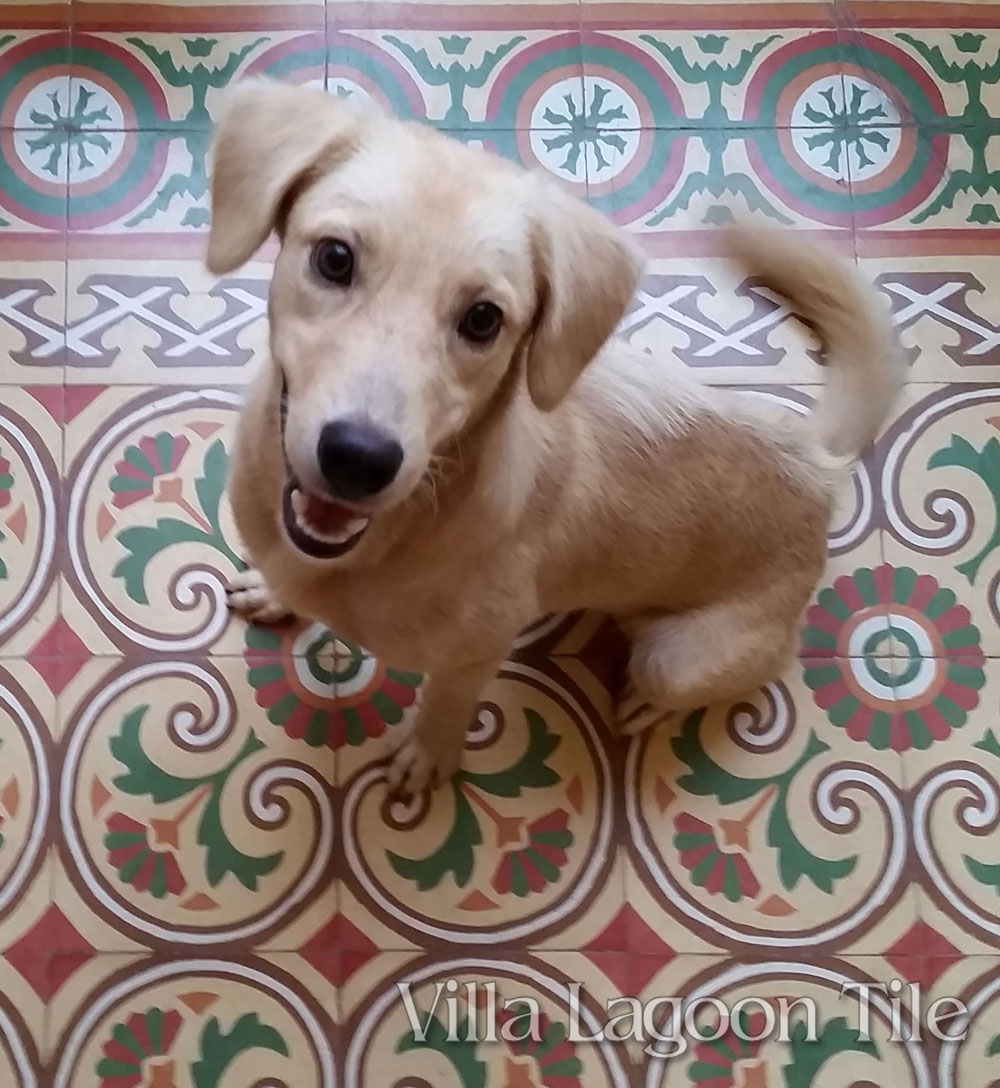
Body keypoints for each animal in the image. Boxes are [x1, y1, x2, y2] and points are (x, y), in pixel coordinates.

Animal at [206, 76, 905, 792]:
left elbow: (447, 701)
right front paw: (273, 591)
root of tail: (817, 460)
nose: (359, 458)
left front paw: (426, 754)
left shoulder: (475, 653)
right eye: (334, 257)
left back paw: (648, 704)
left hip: (679, 658)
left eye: (484, 319)